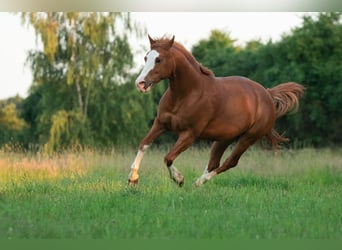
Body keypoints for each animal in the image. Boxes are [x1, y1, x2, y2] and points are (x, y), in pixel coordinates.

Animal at [127, 35, 304, 188]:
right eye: (146, 57)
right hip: (224, 138)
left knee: (229, 162)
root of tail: (267, 94)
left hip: (248, 138)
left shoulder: (189, 134)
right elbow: (144, 144)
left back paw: (198, 182)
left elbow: (168, 157)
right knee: (214, 163)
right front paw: (132, 179)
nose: (140, 83)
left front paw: (179, 179)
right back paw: (198, 183)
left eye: (158, 59)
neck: (187, 94)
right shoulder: (161, 124)